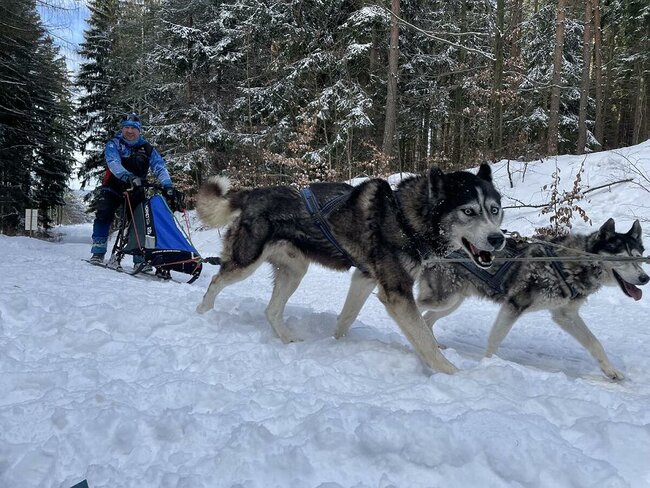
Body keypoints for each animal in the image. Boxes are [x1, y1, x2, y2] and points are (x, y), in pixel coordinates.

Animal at [195, 164, 504, 374]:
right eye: (468, 211)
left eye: (494, 210)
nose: (498, 239)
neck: (405, 218)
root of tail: (250, 194)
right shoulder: (397, 293)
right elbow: (424, 339)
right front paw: (454, 374)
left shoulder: (364, 278)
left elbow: (347, 317)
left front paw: (336, 344)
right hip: (245, 262)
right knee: (215, 282)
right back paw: (203, 316)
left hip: (295, 271)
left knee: (271, 310)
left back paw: (288, 338)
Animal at [416, 219, 648, 380]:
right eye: (622, 258)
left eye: (638, 257)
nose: (645, 278)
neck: (570, 263)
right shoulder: (513, 306)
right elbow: (495, 339)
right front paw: (487, 365)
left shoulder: (565, 315)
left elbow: (594, 343)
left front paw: (610, 371)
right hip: (444, 299)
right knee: (415, 307)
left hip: (453, 301)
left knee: (426, 319)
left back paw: (433, 344)